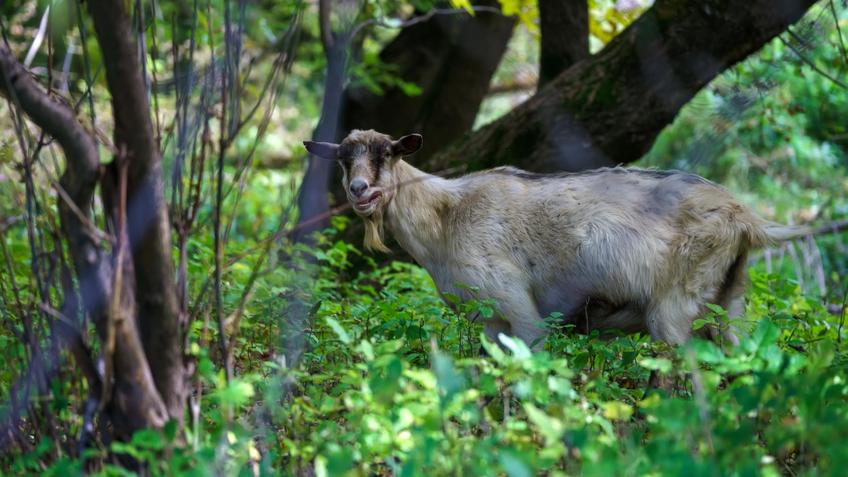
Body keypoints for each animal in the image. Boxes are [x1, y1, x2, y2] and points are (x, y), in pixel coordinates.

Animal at [304, 128, 808, 348]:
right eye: (343, 160)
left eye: (387, 154)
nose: (359, 190)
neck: (446, 217)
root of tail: (745, 216)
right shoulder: (488, 319)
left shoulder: (517, 305)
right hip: (731, 300)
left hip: (675, 308)